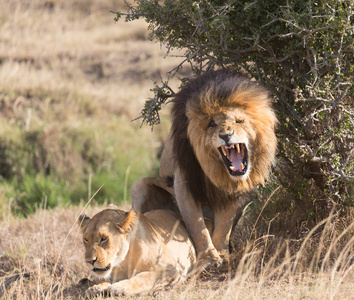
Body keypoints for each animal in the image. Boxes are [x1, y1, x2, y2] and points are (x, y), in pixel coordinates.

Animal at [131, 69, 278, 264]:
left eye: (239, 121)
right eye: (212, 124)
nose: (226, 135)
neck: (217, 170)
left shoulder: (236, 192)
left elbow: (224, 226)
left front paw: (222, 253)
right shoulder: (184, 180)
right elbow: (196, 224)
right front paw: (209, 257)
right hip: (138, 187)